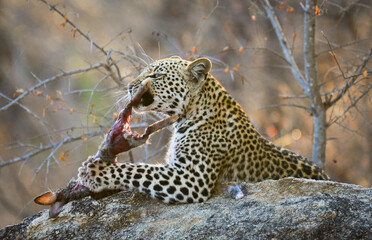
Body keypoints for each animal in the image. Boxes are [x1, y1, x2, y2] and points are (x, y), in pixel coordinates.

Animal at [77, 56, 328, 204]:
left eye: (156, 75)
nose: (129, 86)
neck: (188, 114)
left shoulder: (192, 178)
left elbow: (140, 170)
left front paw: (94, 171)